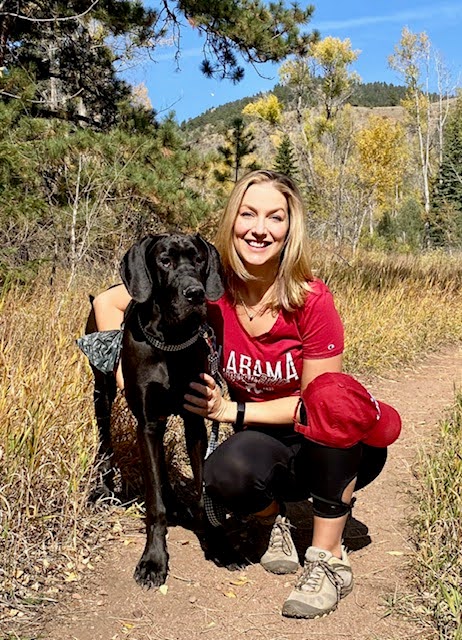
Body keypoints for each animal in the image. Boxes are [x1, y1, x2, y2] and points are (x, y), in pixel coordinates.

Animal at [85, 232, 227, 588]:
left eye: (199, 259)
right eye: (165, 261)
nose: (195, 293)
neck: (171, 340)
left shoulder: (194, 421)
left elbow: (201, 486)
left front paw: (214, 540)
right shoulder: (147, 422)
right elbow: (154, 504)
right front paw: (153, 560)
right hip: (103, 391)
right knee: (105, 440)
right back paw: (103, 486)